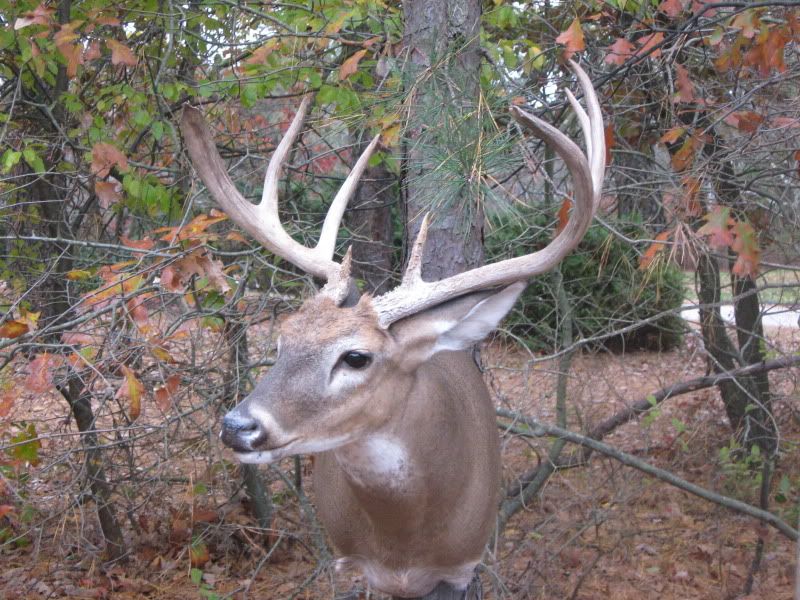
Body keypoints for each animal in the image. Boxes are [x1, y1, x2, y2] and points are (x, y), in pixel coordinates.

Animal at [180, 60, 604, 599]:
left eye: (356, 357)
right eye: (281, 340)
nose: (237, 427)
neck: (405, 542)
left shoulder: (461, 567)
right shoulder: (350, 563)